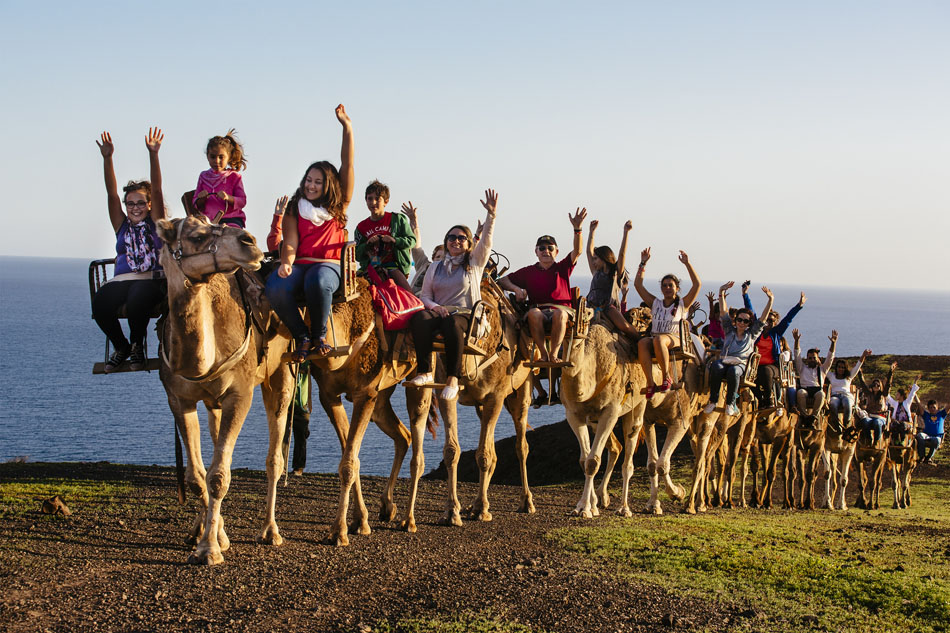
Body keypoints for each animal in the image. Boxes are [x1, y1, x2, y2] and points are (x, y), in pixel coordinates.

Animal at [156, 216, 294, 564]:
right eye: (196, 236)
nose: (250, 242)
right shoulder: (178, 398)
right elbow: (197, 478)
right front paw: (214, 535)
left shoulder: (239, 394)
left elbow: (219, 476)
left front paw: (209, 549)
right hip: (212, 402)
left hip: (280, 372)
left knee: (275, 458)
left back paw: (270, 531)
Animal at [400, 278, 536, 532]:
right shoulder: (448, 393)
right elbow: (452, 451)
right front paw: (452, 512)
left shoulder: (496, 395)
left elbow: (483, 454)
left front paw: (482, 510)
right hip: (480, 404)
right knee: (493, 448)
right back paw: (473, 505)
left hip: (522, 386)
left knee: (521, 443)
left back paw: (525, 502)